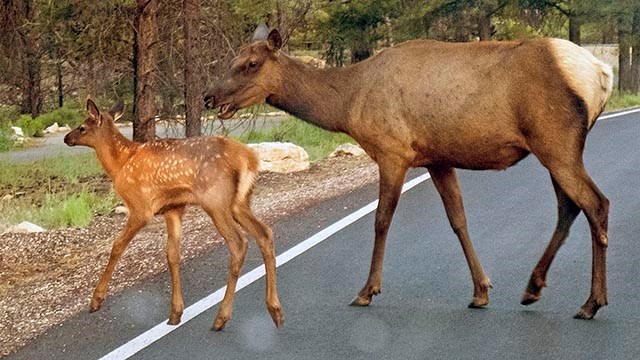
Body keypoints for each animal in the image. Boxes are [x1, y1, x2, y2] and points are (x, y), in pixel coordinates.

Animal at [64, 98, 282, 330]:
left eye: (82, 127)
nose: (66, 137)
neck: (120, 164)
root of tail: (250, 159)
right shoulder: (173, 208)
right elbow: (172, 255)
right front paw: (176, 312)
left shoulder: (141, 207)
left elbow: (117, 246)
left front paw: (96, 300)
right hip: (239, 203)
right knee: (264, 233)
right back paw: (275, 311)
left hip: (216, 202)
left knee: (239, 242)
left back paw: (221, 318)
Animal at [206, 26, 616, 318]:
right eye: (233, 59)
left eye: (251, 64)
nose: (210, 97)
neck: (348, 105)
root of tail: (602, 73)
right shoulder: (437, 158)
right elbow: (458, 219)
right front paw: (481, 290)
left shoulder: (393, 152)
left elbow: (381, 221)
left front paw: (367, 291)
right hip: (555, 148)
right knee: (569, 207)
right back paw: (533, 287)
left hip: (556, 142)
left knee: (597, 203)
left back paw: (591, 303)